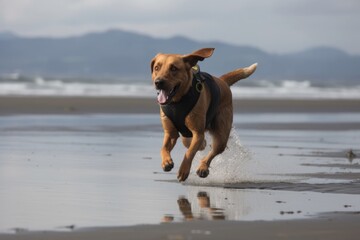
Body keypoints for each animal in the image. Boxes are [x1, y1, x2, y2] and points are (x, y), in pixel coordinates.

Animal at [150, 47, 258, 181]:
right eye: (157, 68)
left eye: (174, 68)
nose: (158, 82)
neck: (178, 101)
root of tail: (222, 81)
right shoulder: (170, 133)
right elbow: (164, 148)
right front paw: (166, 161)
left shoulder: (198, 133)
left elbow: (190, 152)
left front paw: (184, 170)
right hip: (187, 137)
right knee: (198, 144)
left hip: (222, 133)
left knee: (214, 150)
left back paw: (203, 168)